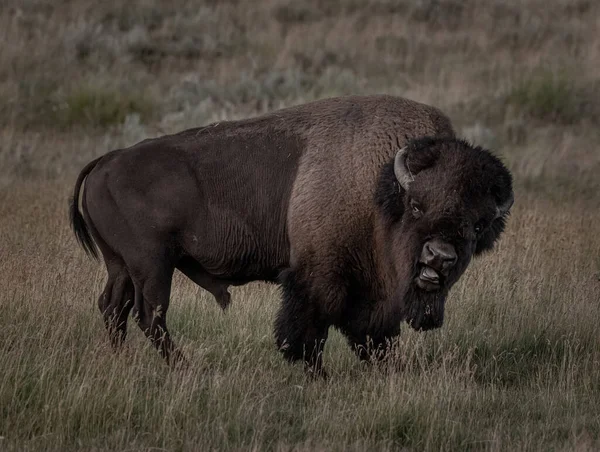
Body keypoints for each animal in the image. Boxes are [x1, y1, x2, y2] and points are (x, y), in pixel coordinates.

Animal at [69, 96, 510, 378]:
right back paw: (185, 368)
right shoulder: (319, 277)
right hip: (153, 265)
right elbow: (309, 330)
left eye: (477, 226)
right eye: (417, 206)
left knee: (114, 308)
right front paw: (318, 376)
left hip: (121, 266)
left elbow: (373, 337)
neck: (380, 187)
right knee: (149, 315)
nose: (439, 255)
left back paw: (124, 361)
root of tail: (106, 161)